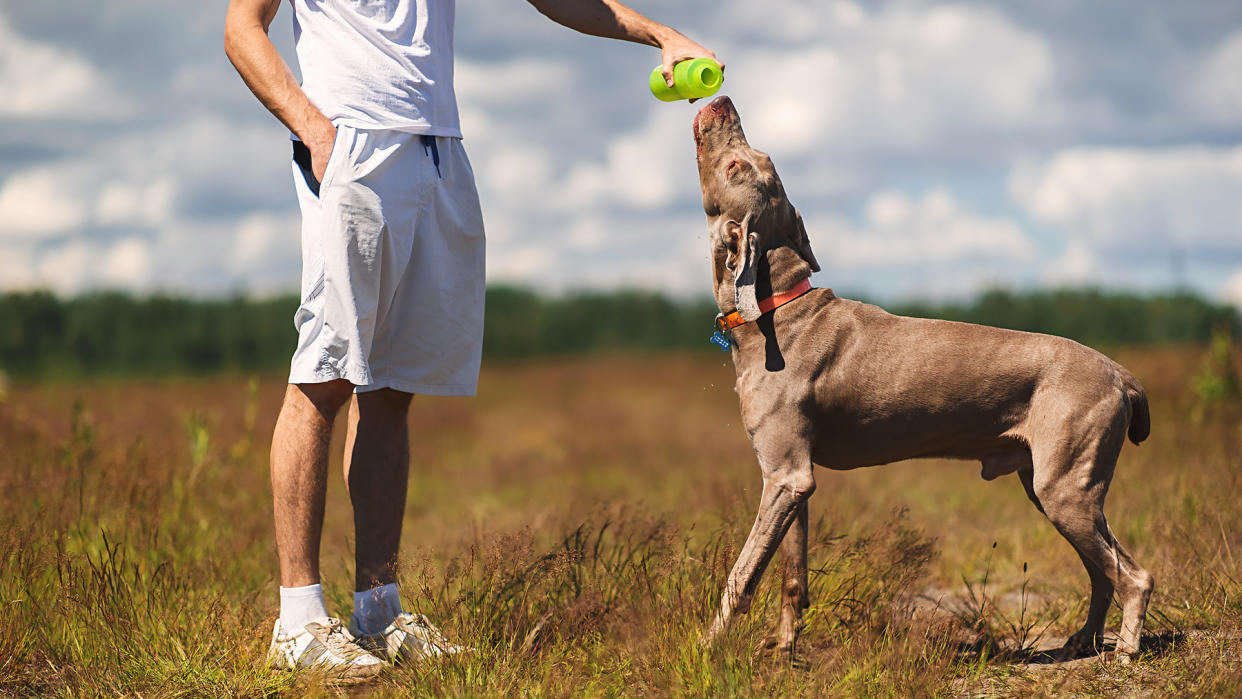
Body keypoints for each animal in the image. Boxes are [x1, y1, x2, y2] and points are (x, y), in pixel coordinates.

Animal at [695, 95, 1147, 665]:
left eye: (739, 165)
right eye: (754, 161)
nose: (720, 100)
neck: (777, 308)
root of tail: (1119, 372)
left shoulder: (785, 476)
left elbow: (742, 575)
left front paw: (705, 648)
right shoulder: (790, 476)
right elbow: (791, 578)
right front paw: (782, 652)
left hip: (1066, 487)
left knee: (1134, 575)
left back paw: (1126, 650)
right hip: (1057, 488)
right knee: (1103, 571)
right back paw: (1082, 642)